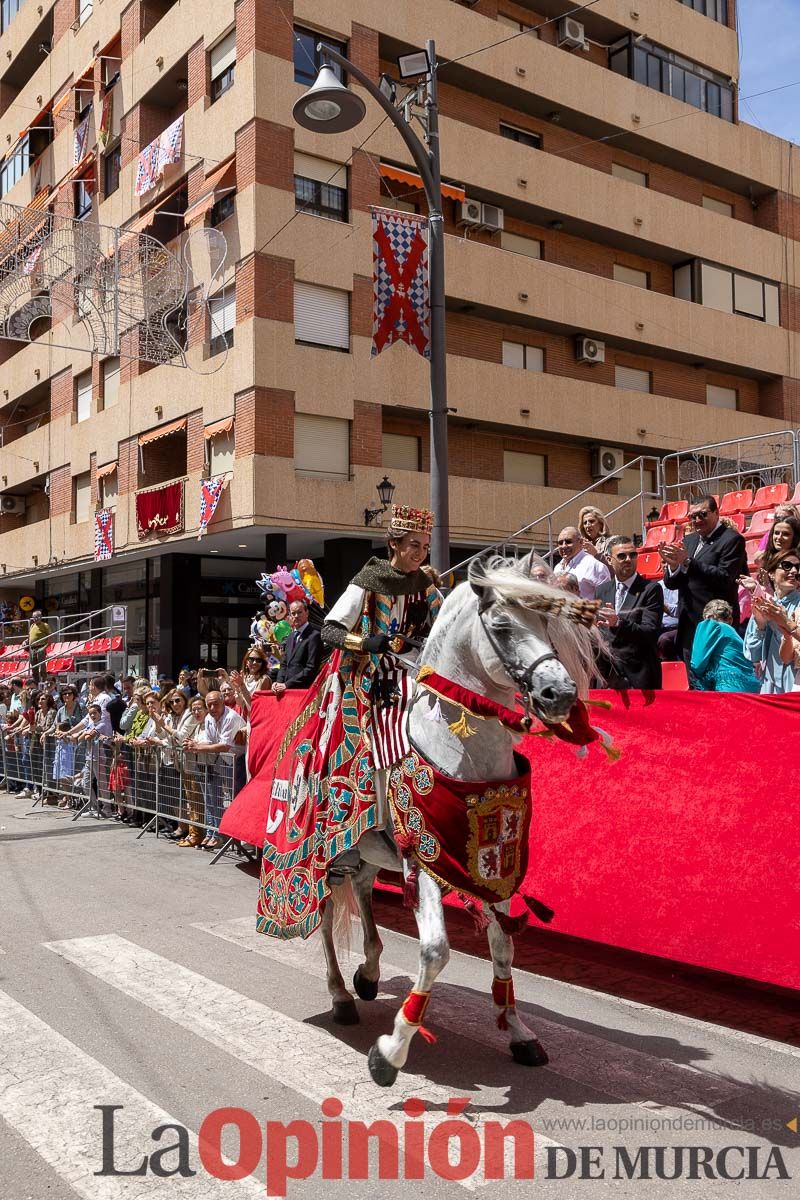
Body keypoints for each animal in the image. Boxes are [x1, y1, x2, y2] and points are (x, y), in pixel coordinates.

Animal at [319, 556, 599, 1094]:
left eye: (548, 624)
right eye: (502, 627)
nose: (559, 693)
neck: (463, 752)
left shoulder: (496, 869)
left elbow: (504, 946)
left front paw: (519, 1032)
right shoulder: (425, 860)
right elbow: (434, 952)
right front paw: (391, 1051)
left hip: (373, 850)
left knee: (363, 891)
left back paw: (368, 973)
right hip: (332, 851)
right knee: (325, 912)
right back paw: (341, 995)